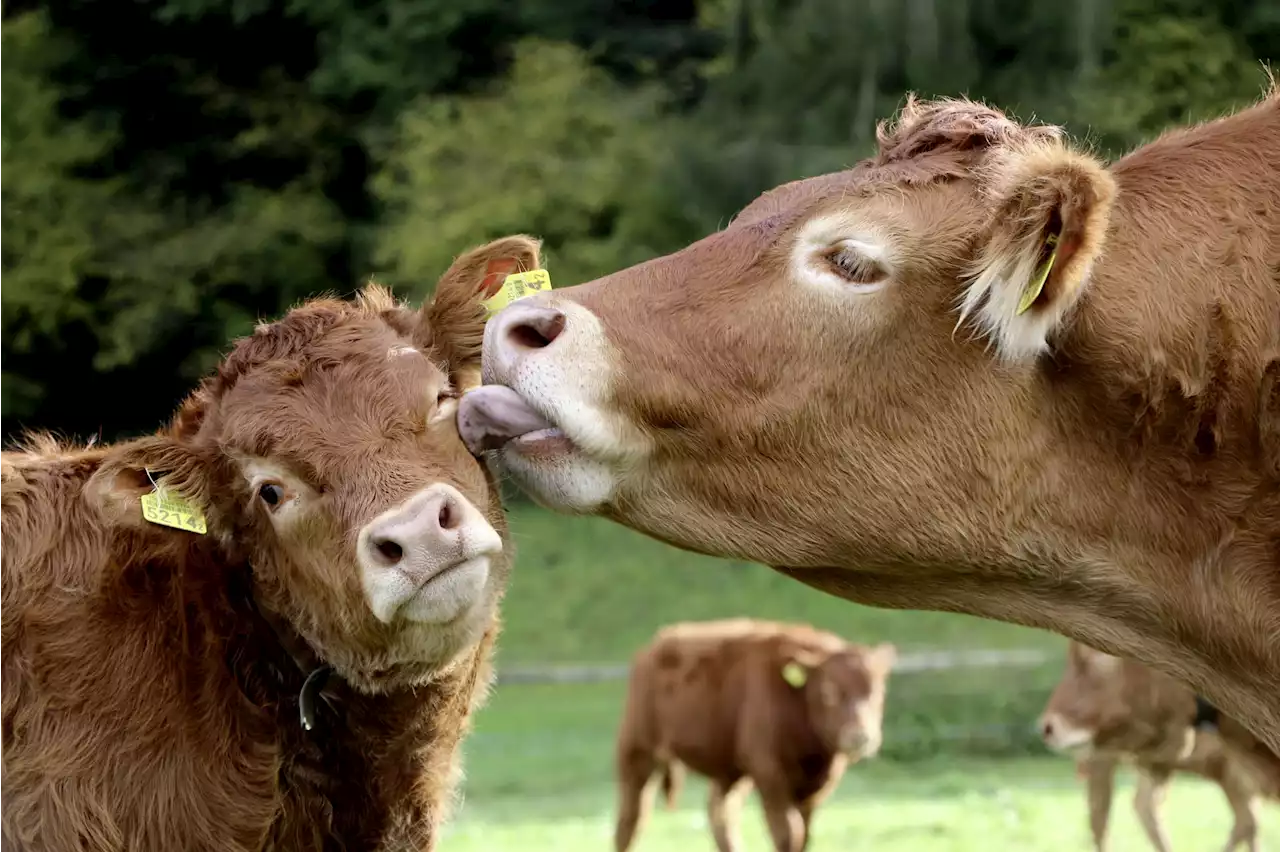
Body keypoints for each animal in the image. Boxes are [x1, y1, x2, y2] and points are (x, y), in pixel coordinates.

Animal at [614, 616, 896, 849]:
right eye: (828, 692)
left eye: (878, 692)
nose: (860, 737)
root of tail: (655, 646)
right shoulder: (769, 773)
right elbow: (788, 834)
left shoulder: (812, 789)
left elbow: (804, 836)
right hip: (637, 751)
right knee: (631, 819)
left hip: (730, 770)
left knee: (720, 815)